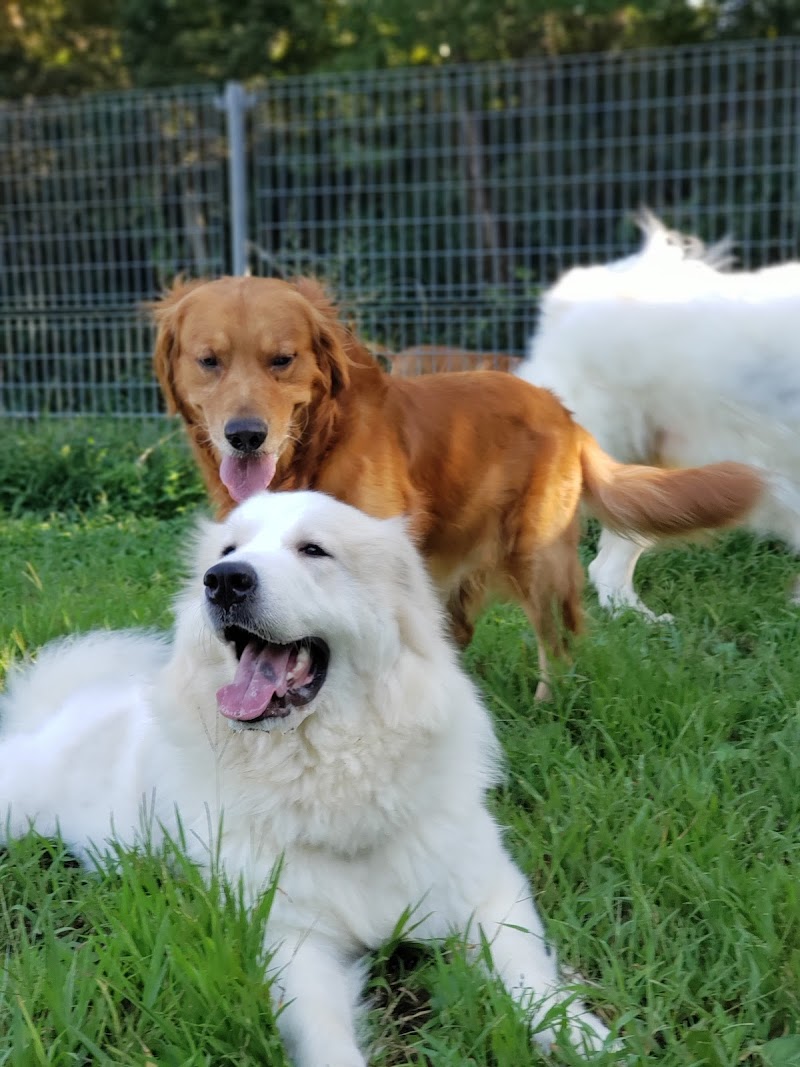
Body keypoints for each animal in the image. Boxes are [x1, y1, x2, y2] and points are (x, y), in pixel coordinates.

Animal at [0, 490, 618, 1067]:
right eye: (227, 551)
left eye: (314, 550)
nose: (223, 581)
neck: (329, 771)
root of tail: (59, 709)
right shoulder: (291, 941)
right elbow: (324, 1035)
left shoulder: (490, 893)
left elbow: (534, 984)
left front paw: (590, 1039)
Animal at [154, 275, 763, 695]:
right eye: (209, 361)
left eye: (282, 360)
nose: (245, 436)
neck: (315, 449)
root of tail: (561, 409)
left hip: (537, 557)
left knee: (558, 645)